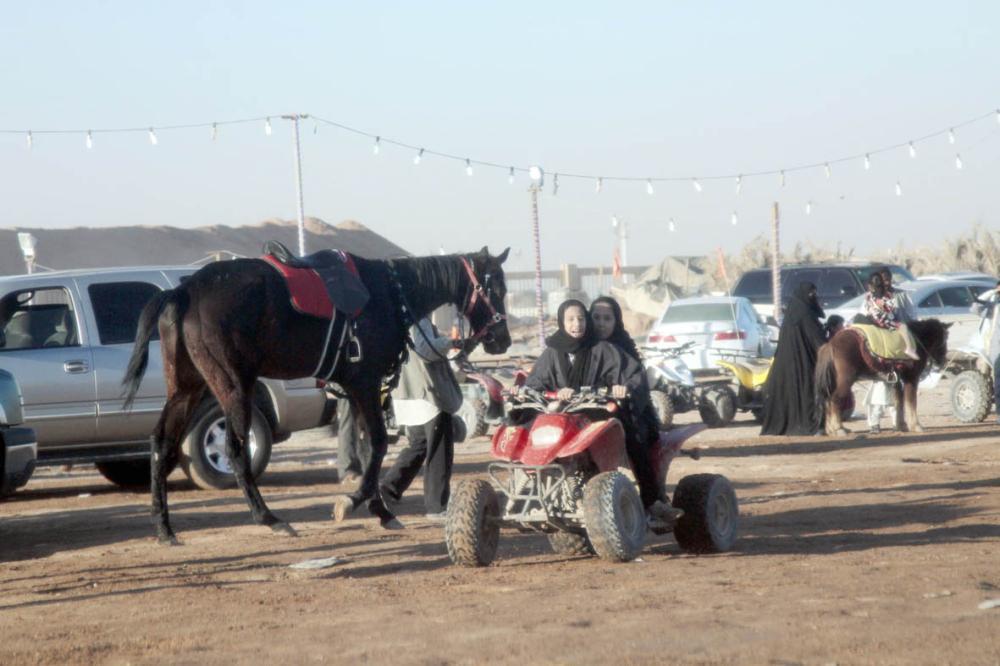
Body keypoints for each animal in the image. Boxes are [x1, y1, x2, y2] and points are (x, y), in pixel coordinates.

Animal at [124, 246, 512, 544]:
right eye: (496, 288)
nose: (503, 339)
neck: (391, 294)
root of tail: (183, 291)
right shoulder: (365, 382)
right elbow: (377, 444)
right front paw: (356, 502)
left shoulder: (356, 389)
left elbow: (368, 449)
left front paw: (378, 508)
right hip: (232, 385)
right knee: (234, 449)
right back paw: (269, 518)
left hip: (187, 387)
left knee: (161, 443)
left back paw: (164, 527)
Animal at [816, 318, 948, 434]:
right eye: (943, 340)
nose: (942, 361)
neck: (917, 341)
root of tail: (831, 344)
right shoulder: (911, 379)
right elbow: (911, 402)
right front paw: (916, 426)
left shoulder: (896, 381)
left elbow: (899, 402)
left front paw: (901, 426)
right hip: (846, 381)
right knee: (834, 399)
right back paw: (839, 428)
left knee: (827, 400)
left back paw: (830, 429)